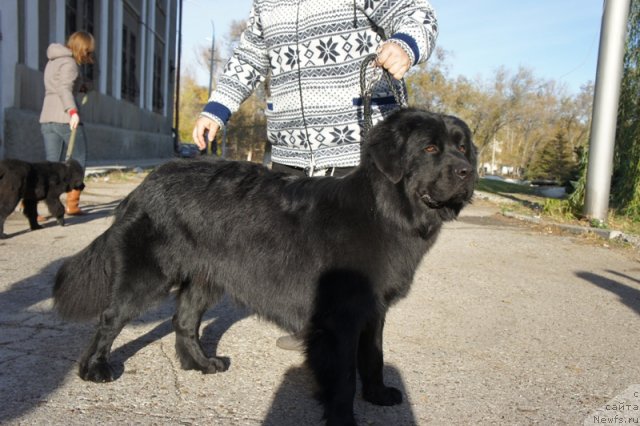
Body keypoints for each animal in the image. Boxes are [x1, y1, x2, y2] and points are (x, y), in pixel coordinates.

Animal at [53, 107, 476, 426]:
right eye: (430, 147)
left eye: (463, 148)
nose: (468, 172)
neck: (385, 212)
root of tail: (144, 185)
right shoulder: (340, 318)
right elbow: (342, 377)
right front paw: (343, 419)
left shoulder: (374, 309)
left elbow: (373, 356)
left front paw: (377, 395)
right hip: (148, 275)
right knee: (111, 318)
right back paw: (95, 369)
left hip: (206, 278)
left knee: (184, 322)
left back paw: (202, 364)